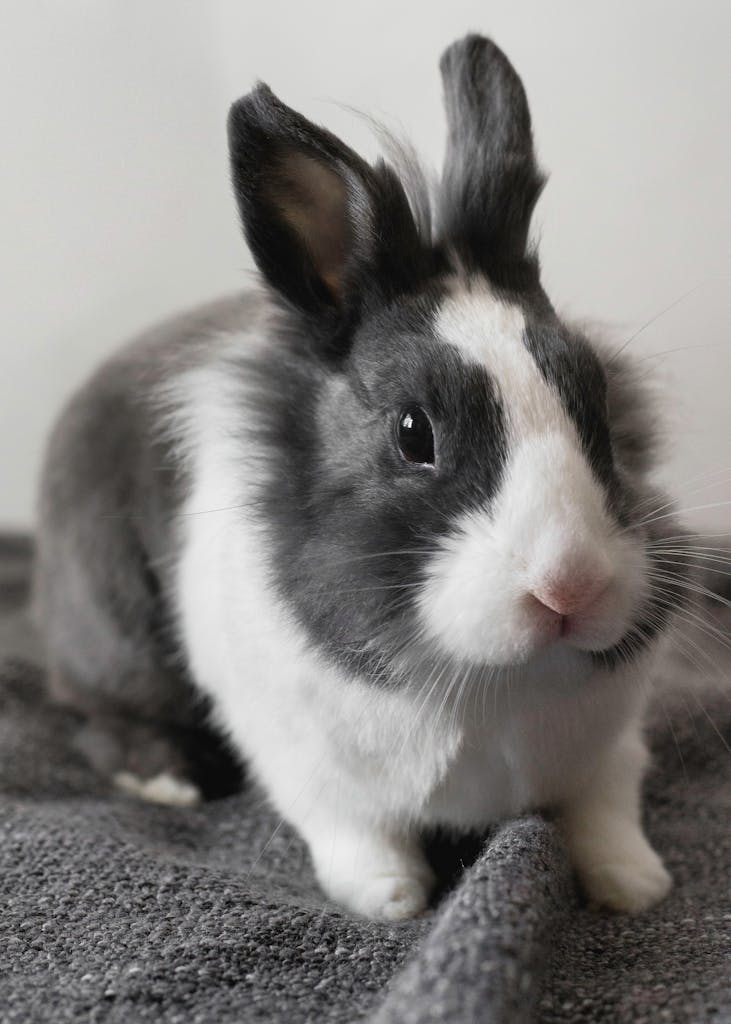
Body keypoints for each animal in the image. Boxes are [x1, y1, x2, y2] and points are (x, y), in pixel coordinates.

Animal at [32, 36, 688, 925]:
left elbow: (605, 808)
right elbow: (355, 835)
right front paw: (392, 900)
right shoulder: (308, 766)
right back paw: (167, 780)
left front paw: (634, 884)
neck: (493, 682)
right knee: (92, 712)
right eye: (413, 433)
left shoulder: (611, 747)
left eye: (600, 399)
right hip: (109, 634)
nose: (569, 588)